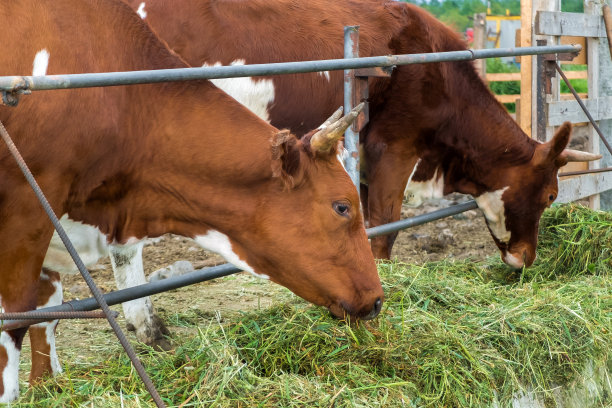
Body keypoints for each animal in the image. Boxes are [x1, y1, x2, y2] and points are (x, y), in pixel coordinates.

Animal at [0, 0, 382, 402]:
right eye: (342, 206)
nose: (377, 299)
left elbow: (48, 310)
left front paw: (46, 386)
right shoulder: (28, 204)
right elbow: (17, 317)